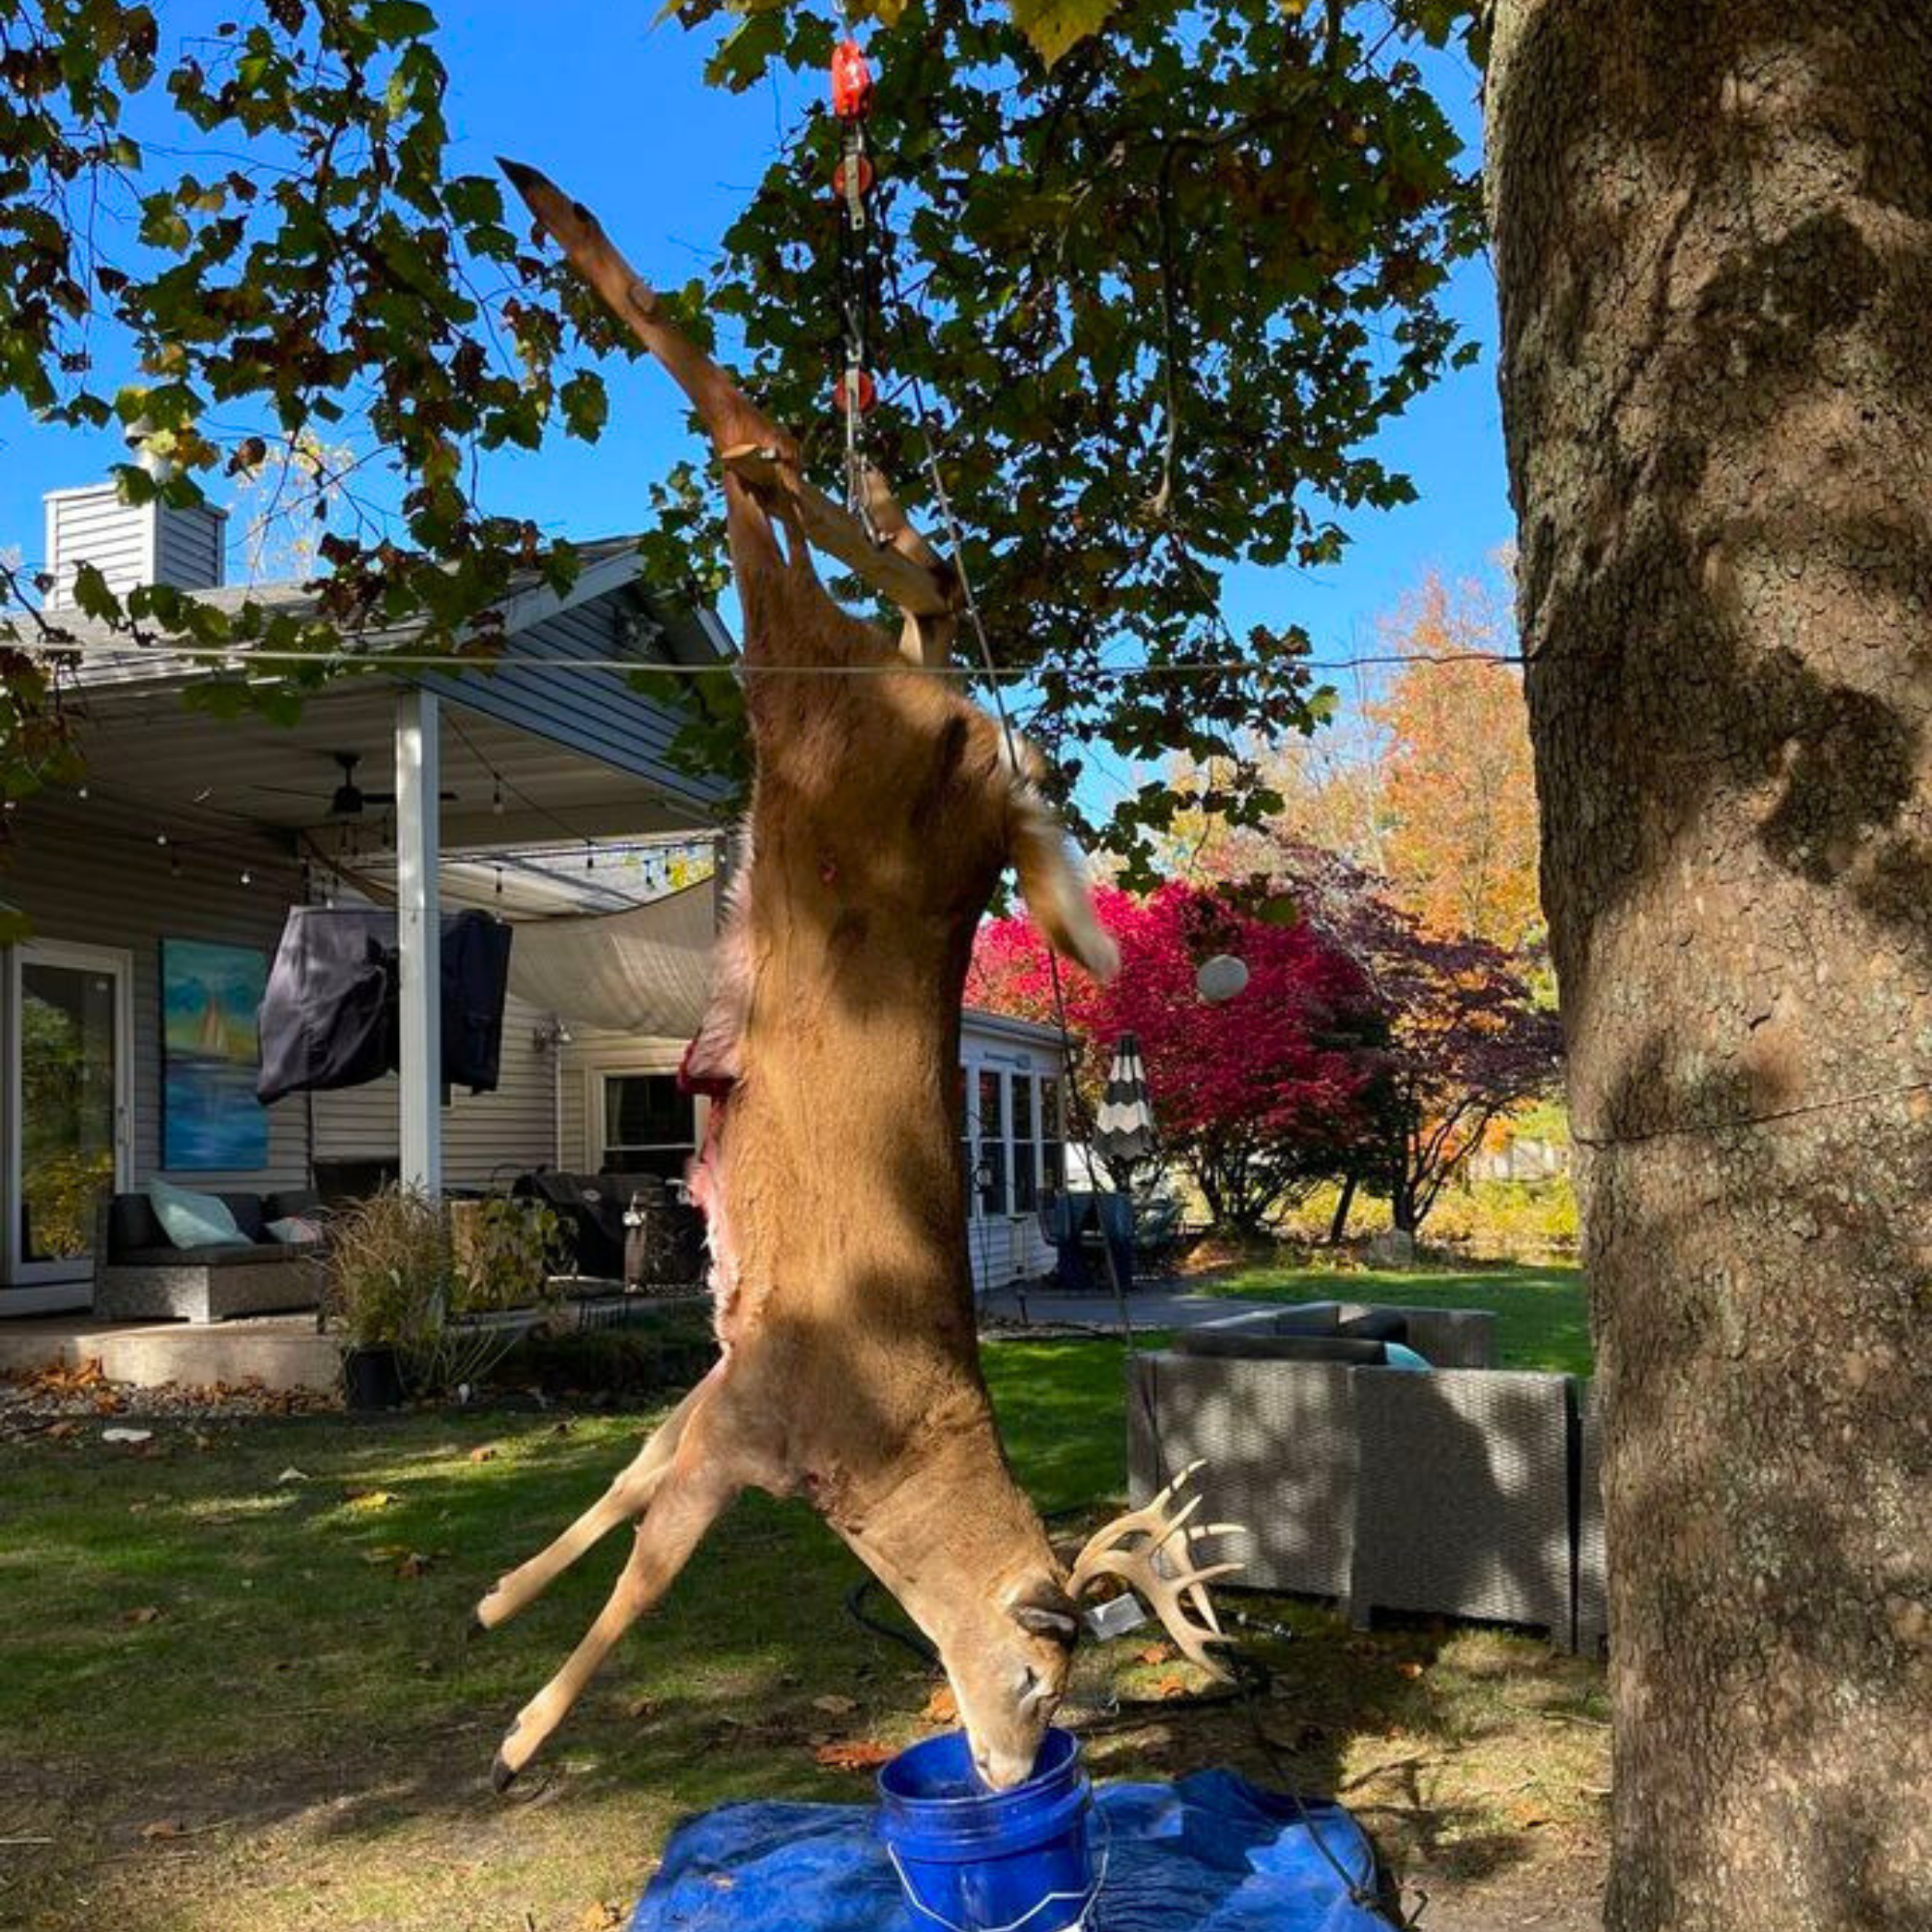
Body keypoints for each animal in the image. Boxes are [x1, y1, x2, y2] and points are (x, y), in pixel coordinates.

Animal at [474, 160, 1242, 1795]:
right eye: (1035, 1671)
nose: (1012, 1773)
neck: (875, 1455)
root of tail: (992, 766)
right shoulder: (749, 1402)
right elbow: (638, 1558)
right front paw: (517, 1711)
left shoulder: (727, 1392)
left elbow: (627, 1496)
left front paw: (501, 1647)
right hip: (822, 690)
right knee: (830, 527)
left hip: (823, 699)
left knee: (876, 557)